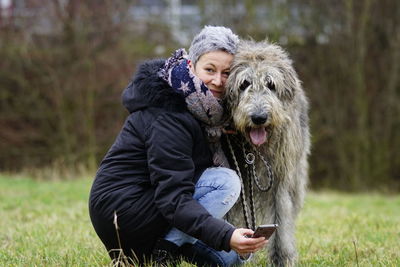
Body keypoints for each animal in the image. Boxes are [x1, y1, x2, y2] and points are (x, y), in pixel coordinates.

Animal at [223, 40, 310, 267]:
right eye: (244, 83)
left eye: (271, 84)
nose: (259, 117)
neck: (254, 149)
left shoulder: (281, 175)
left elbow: (281, 214)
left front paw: (282, 257)